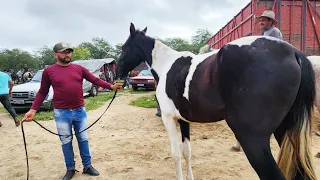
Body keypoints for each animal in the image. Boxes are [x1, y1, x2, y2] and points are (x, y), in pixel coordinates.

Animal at [116, 22, 316, 180]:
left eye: (124, 47)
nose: (118, 72)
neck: (167, 65)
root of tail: (292, 52)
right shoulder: (183, 120)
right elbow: (187, 152)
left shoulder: (169, 119)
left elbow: (176, 154)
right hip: (284, 133)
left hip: (253, 140)